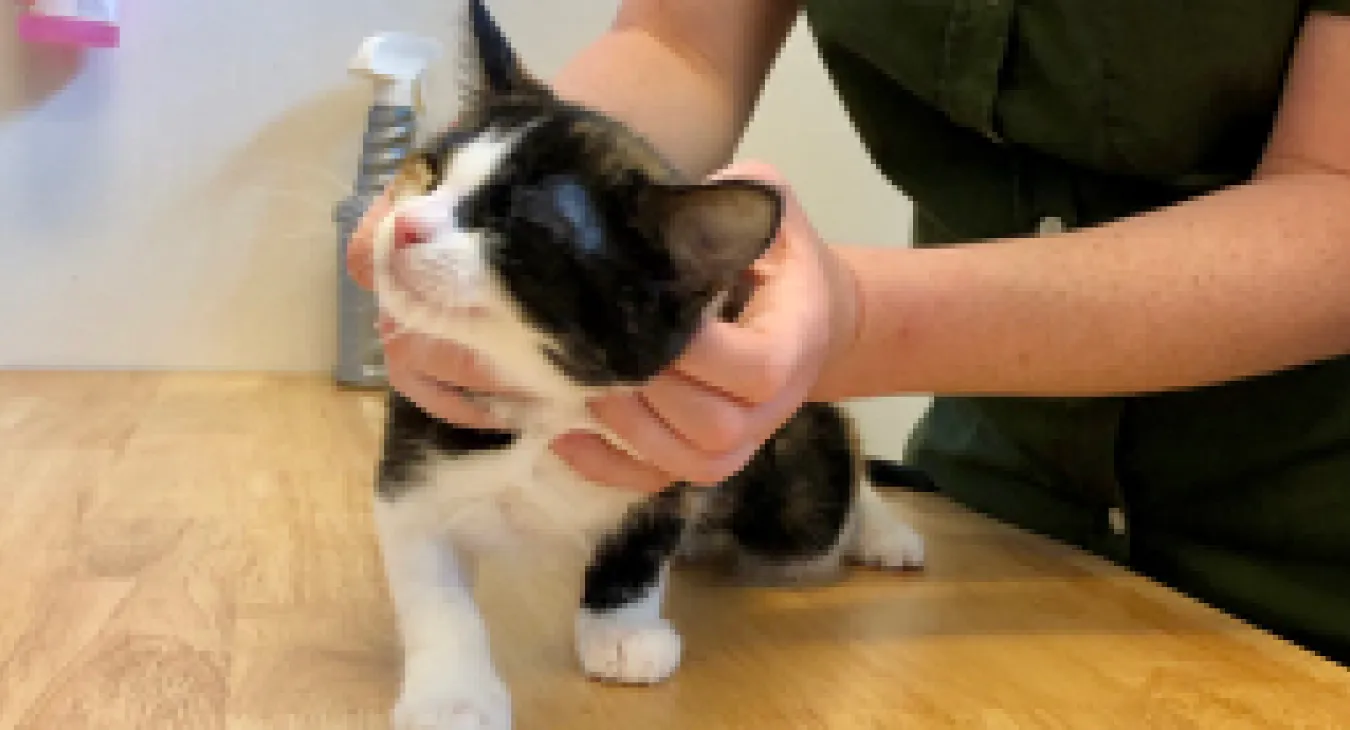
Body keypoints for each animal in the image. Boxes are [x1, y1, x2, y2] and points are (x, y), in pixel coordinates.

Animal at [364, 2, 923, 723]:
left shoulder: (683, 449)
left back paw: (885, 531)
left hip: (793, 483)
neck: (551, 400)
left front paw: (621, 629)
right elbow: (433, 584)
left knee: (830, 488)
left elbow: (644, 535)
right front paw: (453, 695)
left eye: (512, 227)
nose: (405, 226)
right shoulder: (416, 451)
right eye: (428, 171)